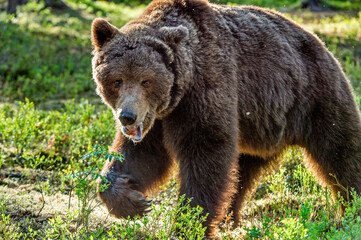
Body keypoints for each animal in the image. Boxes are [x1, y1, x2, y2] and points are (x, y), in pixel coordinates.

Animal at [91, 0, 360, 236]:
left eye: (146, 81)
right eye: (117, 80)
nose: (127, 117)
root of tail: (319, 42)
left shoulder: (206, 87)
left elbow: (206, 153)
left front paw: (187, 224)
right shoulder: (158, 119)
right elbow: (140, 156)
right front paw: (132, 201)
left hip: (315, 97)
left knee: (340, 152)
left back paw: (351, 211)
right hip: (259, 126)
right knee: (242, 171)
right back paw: (230, 218)